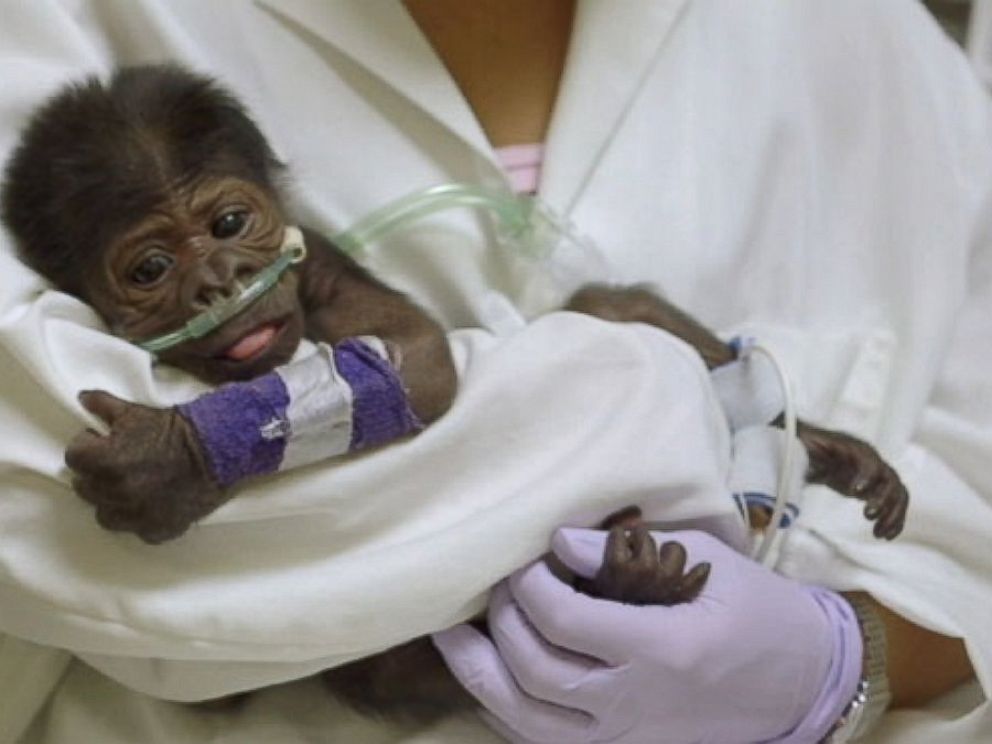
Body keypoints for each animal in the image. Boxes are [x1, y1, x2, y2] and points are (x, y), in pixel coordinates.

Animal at [1, 68, 908, 720]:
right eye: (151, 269)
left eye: (229, 224)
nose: (218, 282)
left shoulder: (319, 263)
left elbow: (417, 360)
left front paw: (170, 461)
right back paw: (629, 587)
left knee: (612, 311)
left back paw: (818, 454)